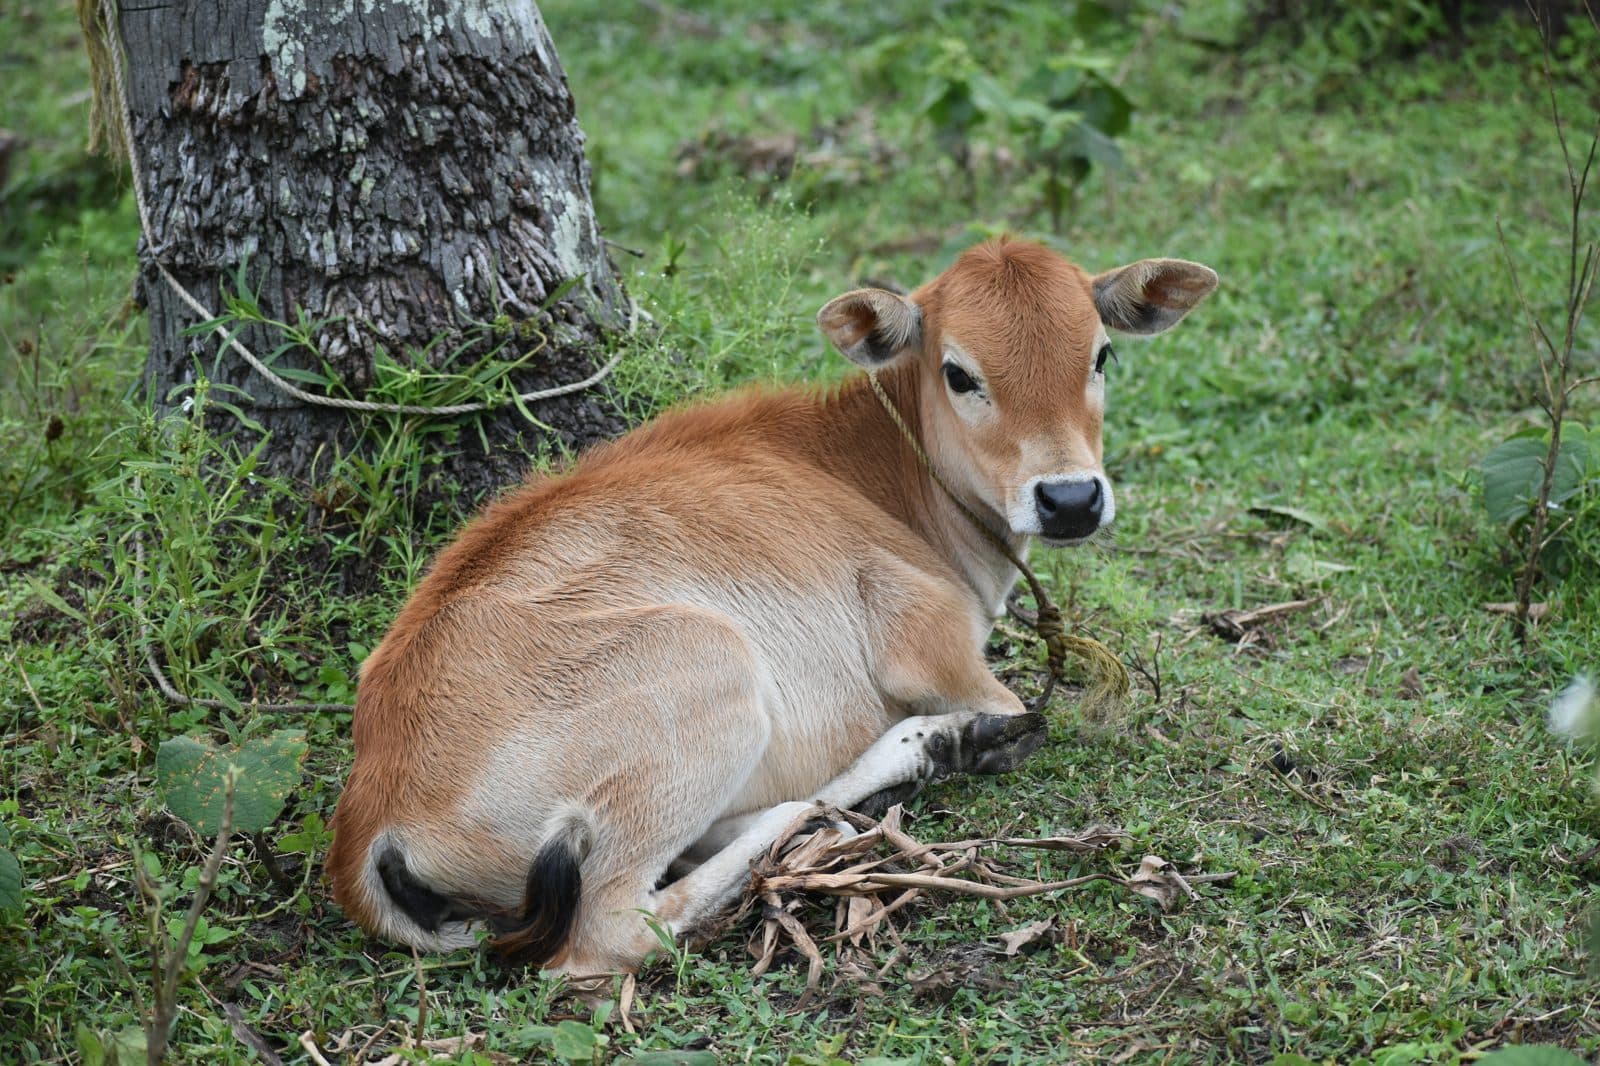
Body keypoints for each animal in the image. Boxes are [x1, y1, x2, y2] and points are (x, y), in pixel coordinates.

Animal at [326, 237, 1217, 975]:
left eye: (1101, 355)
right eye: (959, 372)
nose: (1069, 499)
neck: (878, 472)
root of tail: (372, 813)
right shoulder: (936, 648)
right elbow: (1018, 710)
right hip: (709, 674)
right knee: (613, 930)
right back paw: (868, 790)